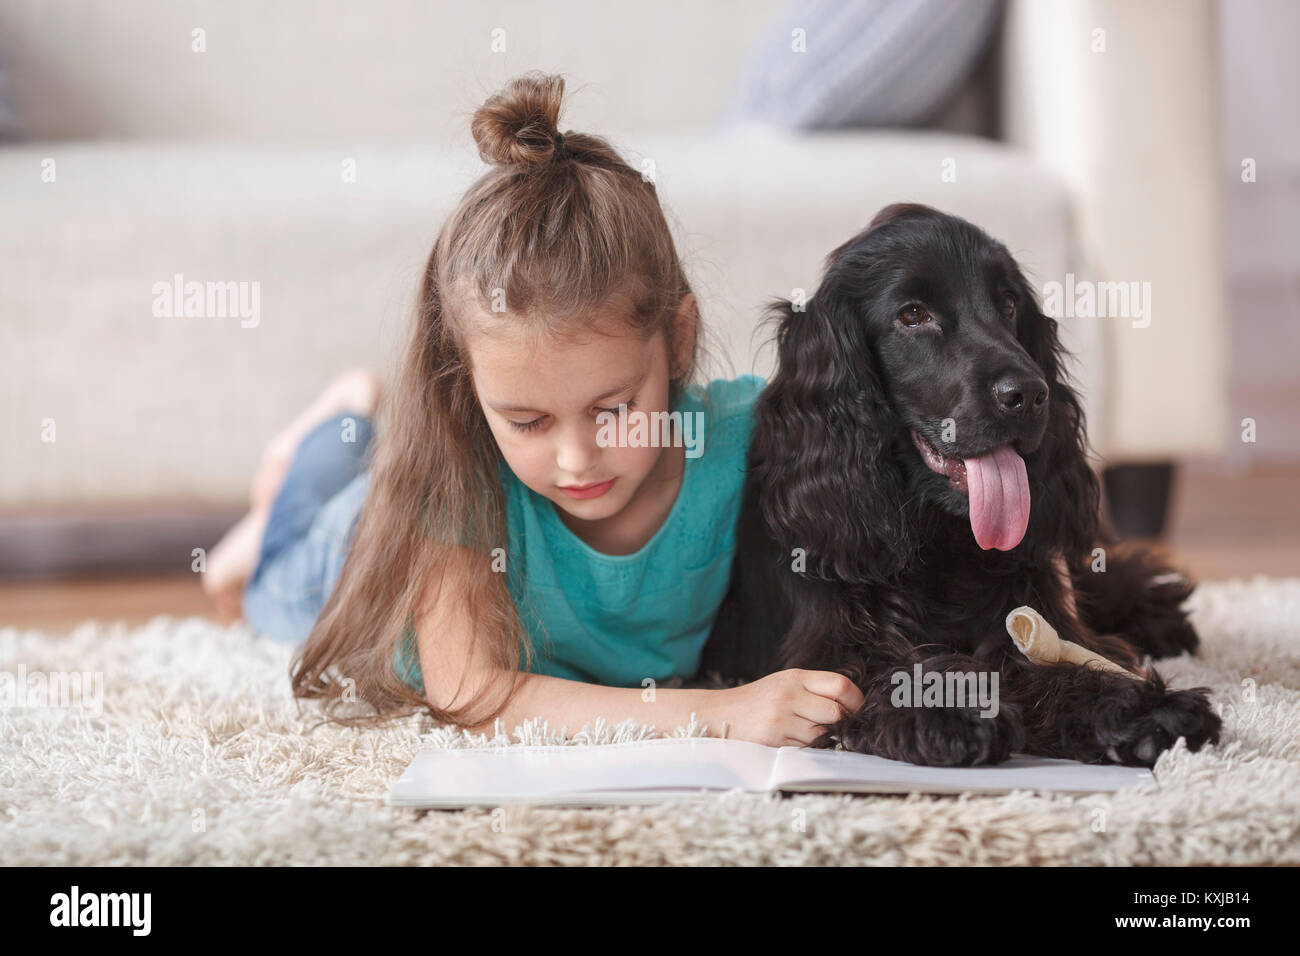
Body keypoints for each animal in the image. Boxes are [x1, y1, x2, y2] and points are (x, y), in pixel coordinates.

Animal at [702, 204, 1216, 770]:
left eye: (1009, 303)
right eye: (912, 315)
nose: (1029, 394)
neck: (939, 538)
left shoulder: (1029, 614)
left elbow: (1053, 660)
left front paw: (1141, 708)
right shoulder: (826, 651)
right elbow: (887, 663)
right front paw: (948, 706)